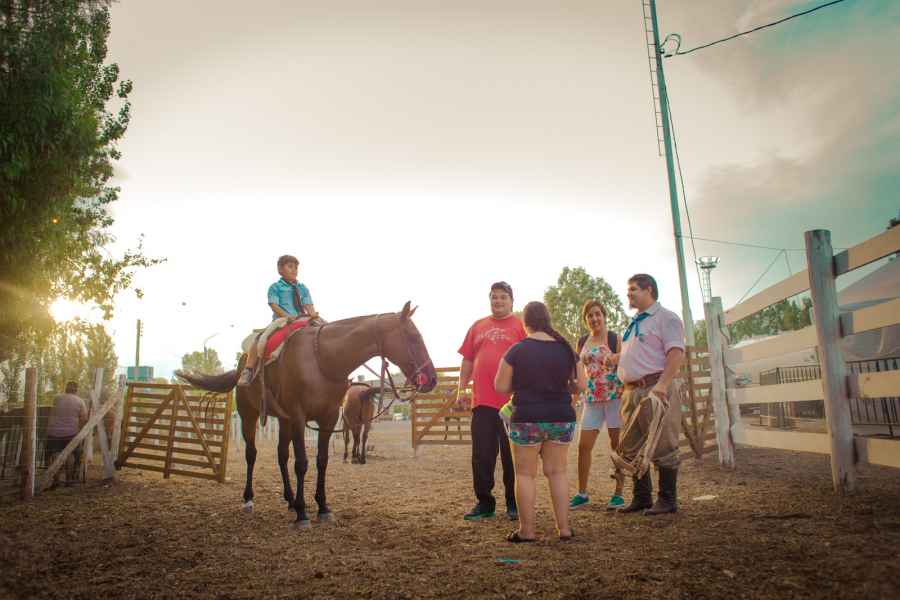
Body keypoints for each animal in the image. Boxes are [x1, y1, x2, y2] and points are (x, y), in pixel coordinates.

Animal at [176, 301, 437, 528]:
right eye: (414, 337)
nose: (432, 379)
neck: (322, 358)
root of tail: (241, 366)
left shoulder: (327, 419)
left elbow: (322, 461)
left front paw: (322, 507)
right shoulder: (299, 417)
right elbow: (302, 463)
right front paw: (302, 514)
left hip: (283, 420)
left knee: (281, 455)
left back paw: (290, 499)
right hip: (249, 415)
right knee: (252, 454)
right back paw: (250, 499)